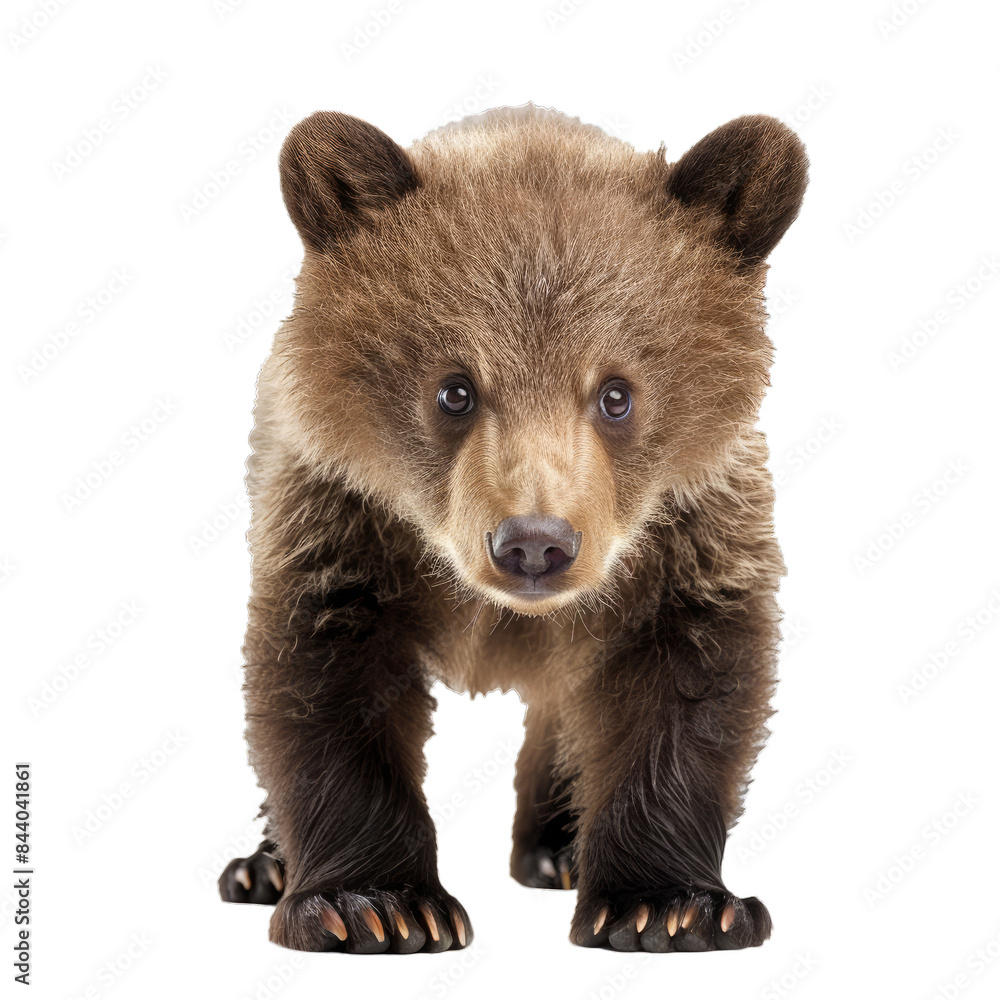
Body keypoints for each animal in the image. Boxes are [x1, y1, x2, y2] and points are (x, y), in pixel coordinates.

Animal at [218, 104, 808, 954]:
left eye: (618, 393)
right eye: (454, 389)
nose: (534, 543)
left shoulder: (690, 536)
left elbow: (687, 688)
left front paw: (670, 905)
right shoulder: (339, 521)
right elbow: (323, 685)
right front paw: (376, 905)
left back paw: (559, 847)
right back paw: (262, 866)